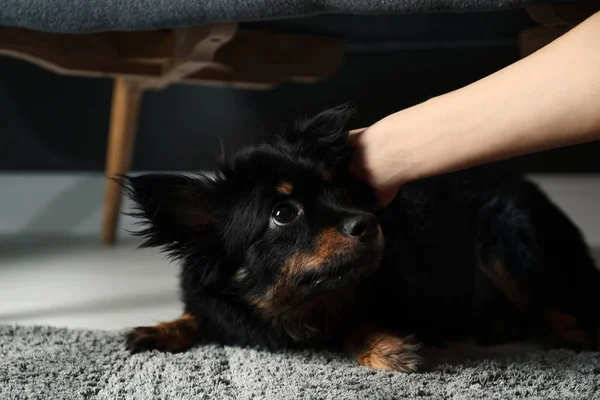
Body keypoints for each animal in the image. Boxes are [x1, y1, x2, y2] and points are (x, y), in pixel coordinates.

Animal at [122, 105, 600, 372]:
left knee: (556, 305)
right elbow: (197, 315)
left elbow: (350, 324)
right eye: (282, 214)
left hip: (508, 243)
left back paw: (568, 336)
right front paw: (158, 329)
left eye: (341, 191)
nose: (368, 223)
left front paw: (384, 347)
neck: (281, 311)